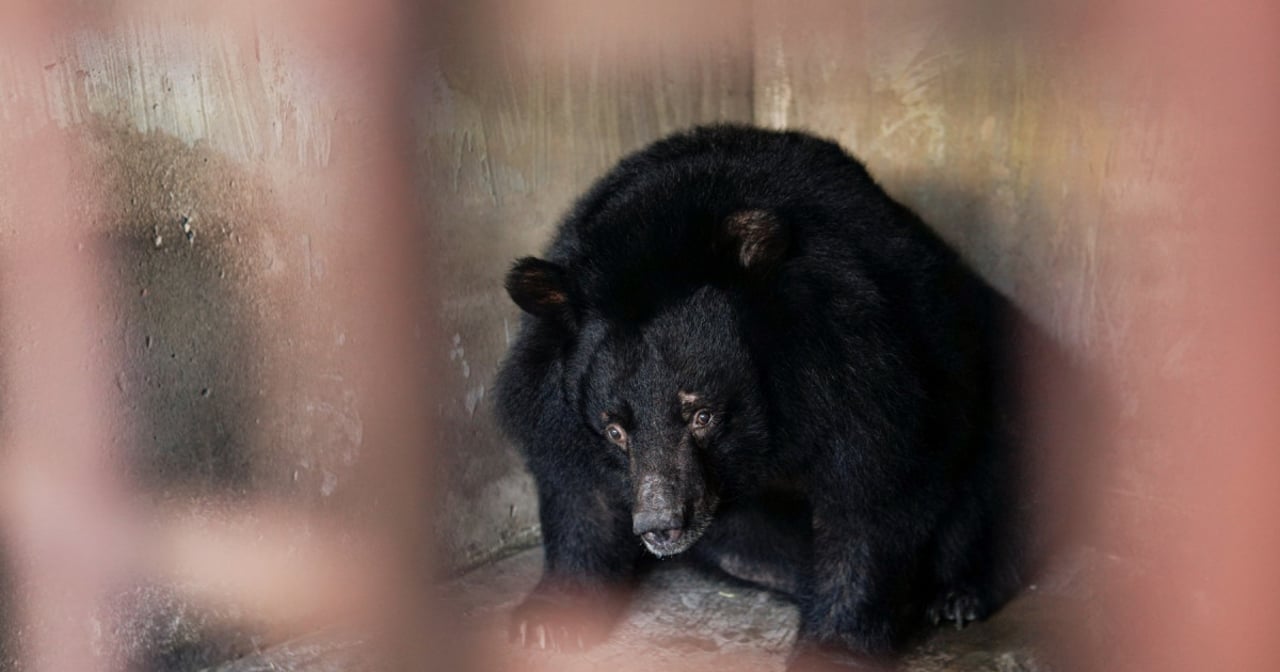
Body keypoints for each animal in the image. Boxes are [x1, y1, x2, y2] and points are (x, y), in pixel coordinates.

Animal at [494, 124, 1024, 665]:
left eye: (701, 415)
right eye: (615, 429)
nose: (660, 526)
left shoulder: (864, 365)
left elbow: (873, 490)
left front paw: (832, 649)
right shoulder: (549, 390)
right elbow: (579, 485)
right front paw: (549, 623)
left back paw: (956, 596)